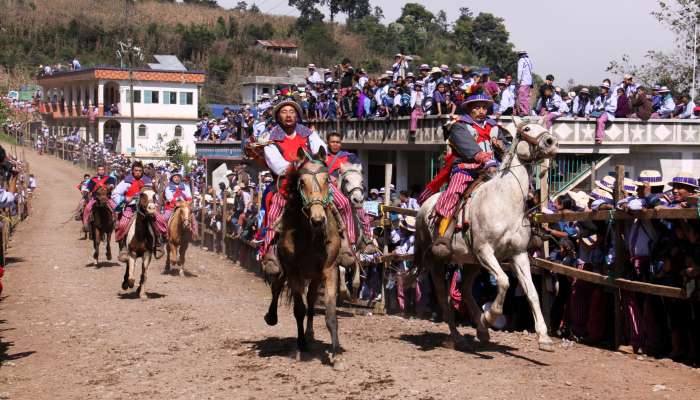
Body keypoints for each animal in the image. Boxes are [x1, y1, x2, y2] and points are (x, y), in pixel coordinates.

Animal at [262, 146, 344, 368]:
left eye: (327, 180)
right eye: (301, 182)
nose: (318, 219)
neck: (310, 236)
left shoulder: (330, 270)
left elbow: (330, 314)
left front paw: (336, 354)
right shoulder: (293, 271)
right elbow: (299, 309)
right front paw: (300, 347)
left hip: (314, 276)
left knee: (312, 300)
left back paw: (310, 333)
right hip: (283, 268)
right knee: (277, 286)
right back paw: (272, 317)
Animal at [416, 115, 556, 350]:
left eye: (544, 127)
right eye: (527, 129)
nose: (551, 142)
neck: (506, 200)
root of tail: (423, 207)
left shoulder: (518, 254)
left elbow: (532, 292)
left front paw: (544, 337)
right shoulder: (485, 251)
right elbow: (504, 282)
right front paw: (491, 316)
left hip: (471, 262)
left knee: (464, 290)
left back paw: (481, 330)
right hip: (437, 261)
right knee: (444, 297)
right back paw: (457, 337)